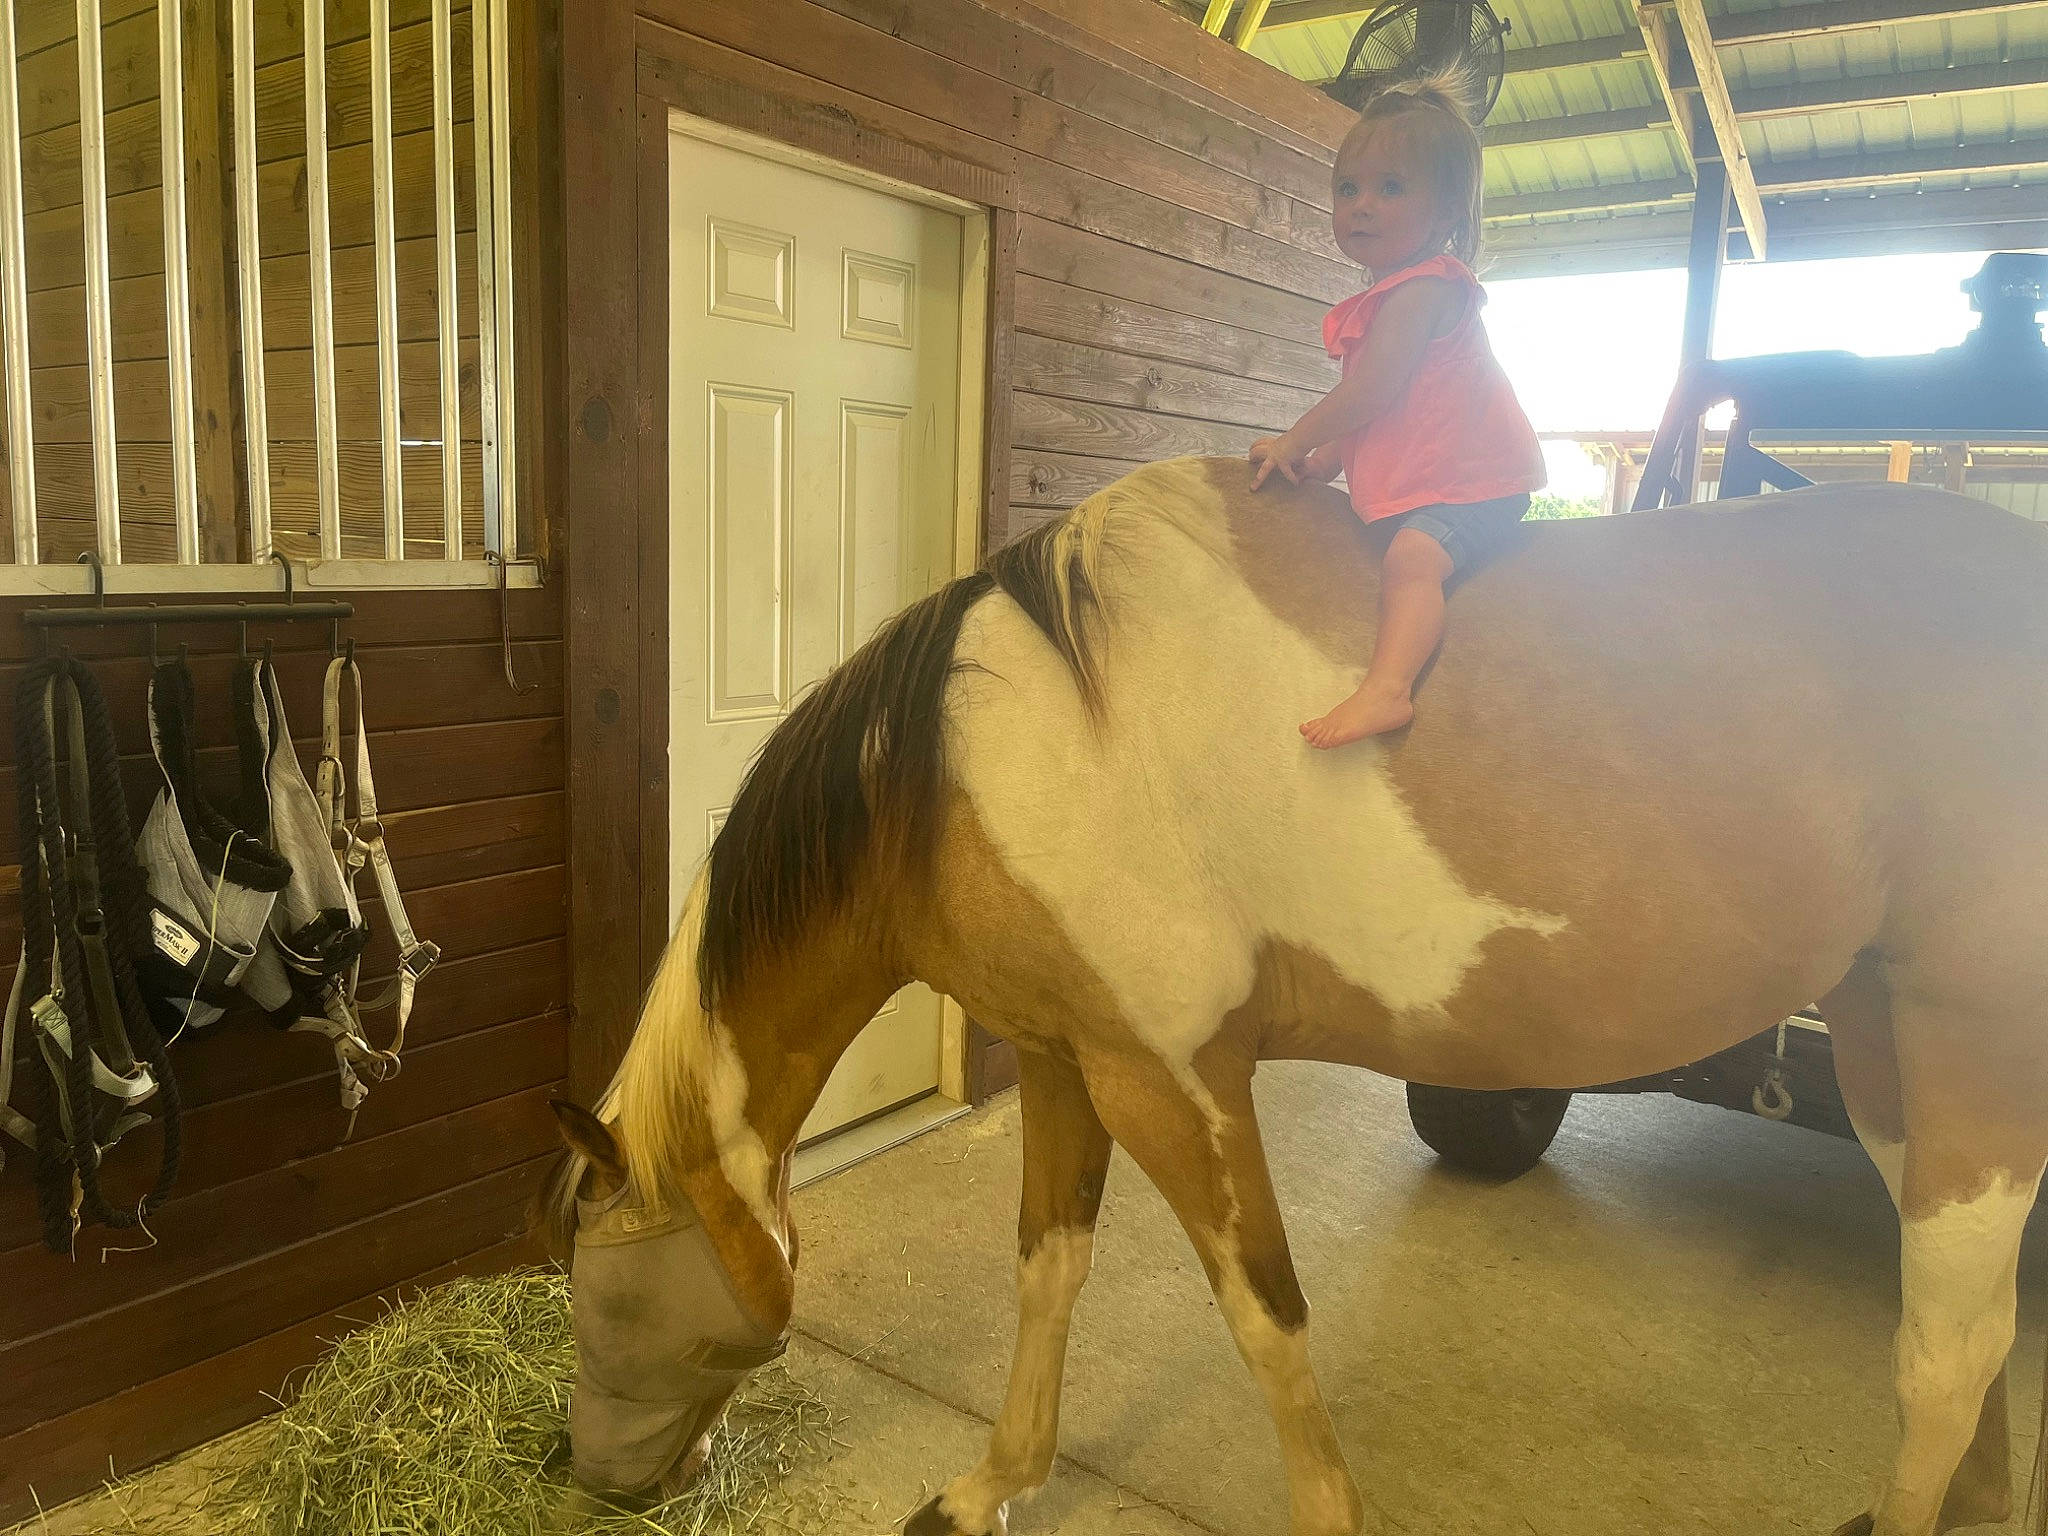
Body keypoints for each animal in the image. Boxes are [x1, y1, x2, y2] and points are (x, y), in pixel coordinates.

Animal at [544, 455, 2048, 1536]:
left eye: (600, 1304)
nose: (594, 1476)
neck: (982, 760)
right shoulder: (1067, 1060)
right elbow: (1048, 1268)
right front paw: (990, 1486)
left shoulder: (1175, 1084)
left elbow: (1265, 1315)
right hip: (1887, 1053)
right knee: (1978, 1354)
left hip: (1976, 1071)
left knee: (1943, 1356)